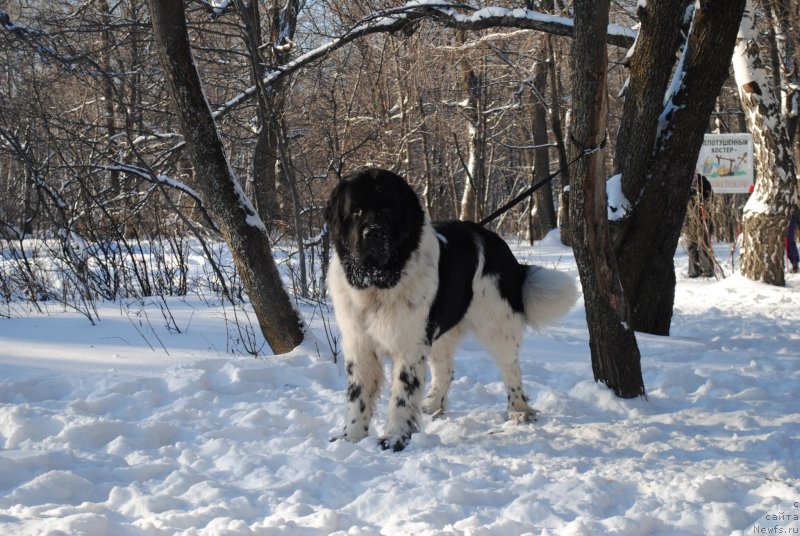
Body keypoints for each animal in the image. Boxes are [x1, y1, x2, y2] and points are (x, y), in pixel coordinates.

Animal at [324, 169, 576, 452]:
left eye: (387, 210)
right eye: (356, 210)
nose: (372, 233)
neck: (378, 283)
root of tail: (496, 242)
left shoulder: (410, 343)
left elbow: (402, 394)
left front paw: (395, 437)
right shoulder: (359, 343)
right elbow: (359, 395)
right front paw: (350, 437)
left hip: (498, 325)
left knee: (511, 369)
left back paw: (519, 411)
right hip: (441, 331)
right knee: (445, 370)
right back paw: (433, 405)